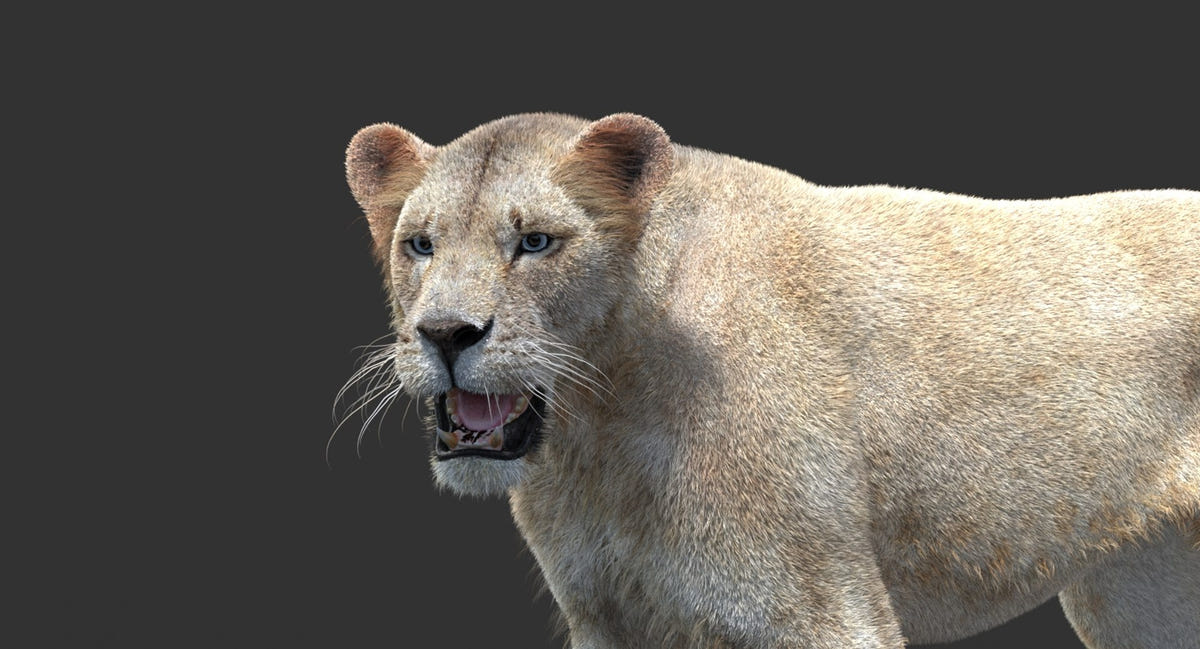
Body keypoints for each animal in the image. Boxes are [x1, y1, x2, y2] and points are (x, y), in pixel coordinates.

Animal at [342, 112, 1199, 648]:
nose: (446, 333)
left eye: (536, 242)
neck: (599, 430)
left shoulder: (816, 609)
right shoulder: (612, 617)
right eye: (420, 244)